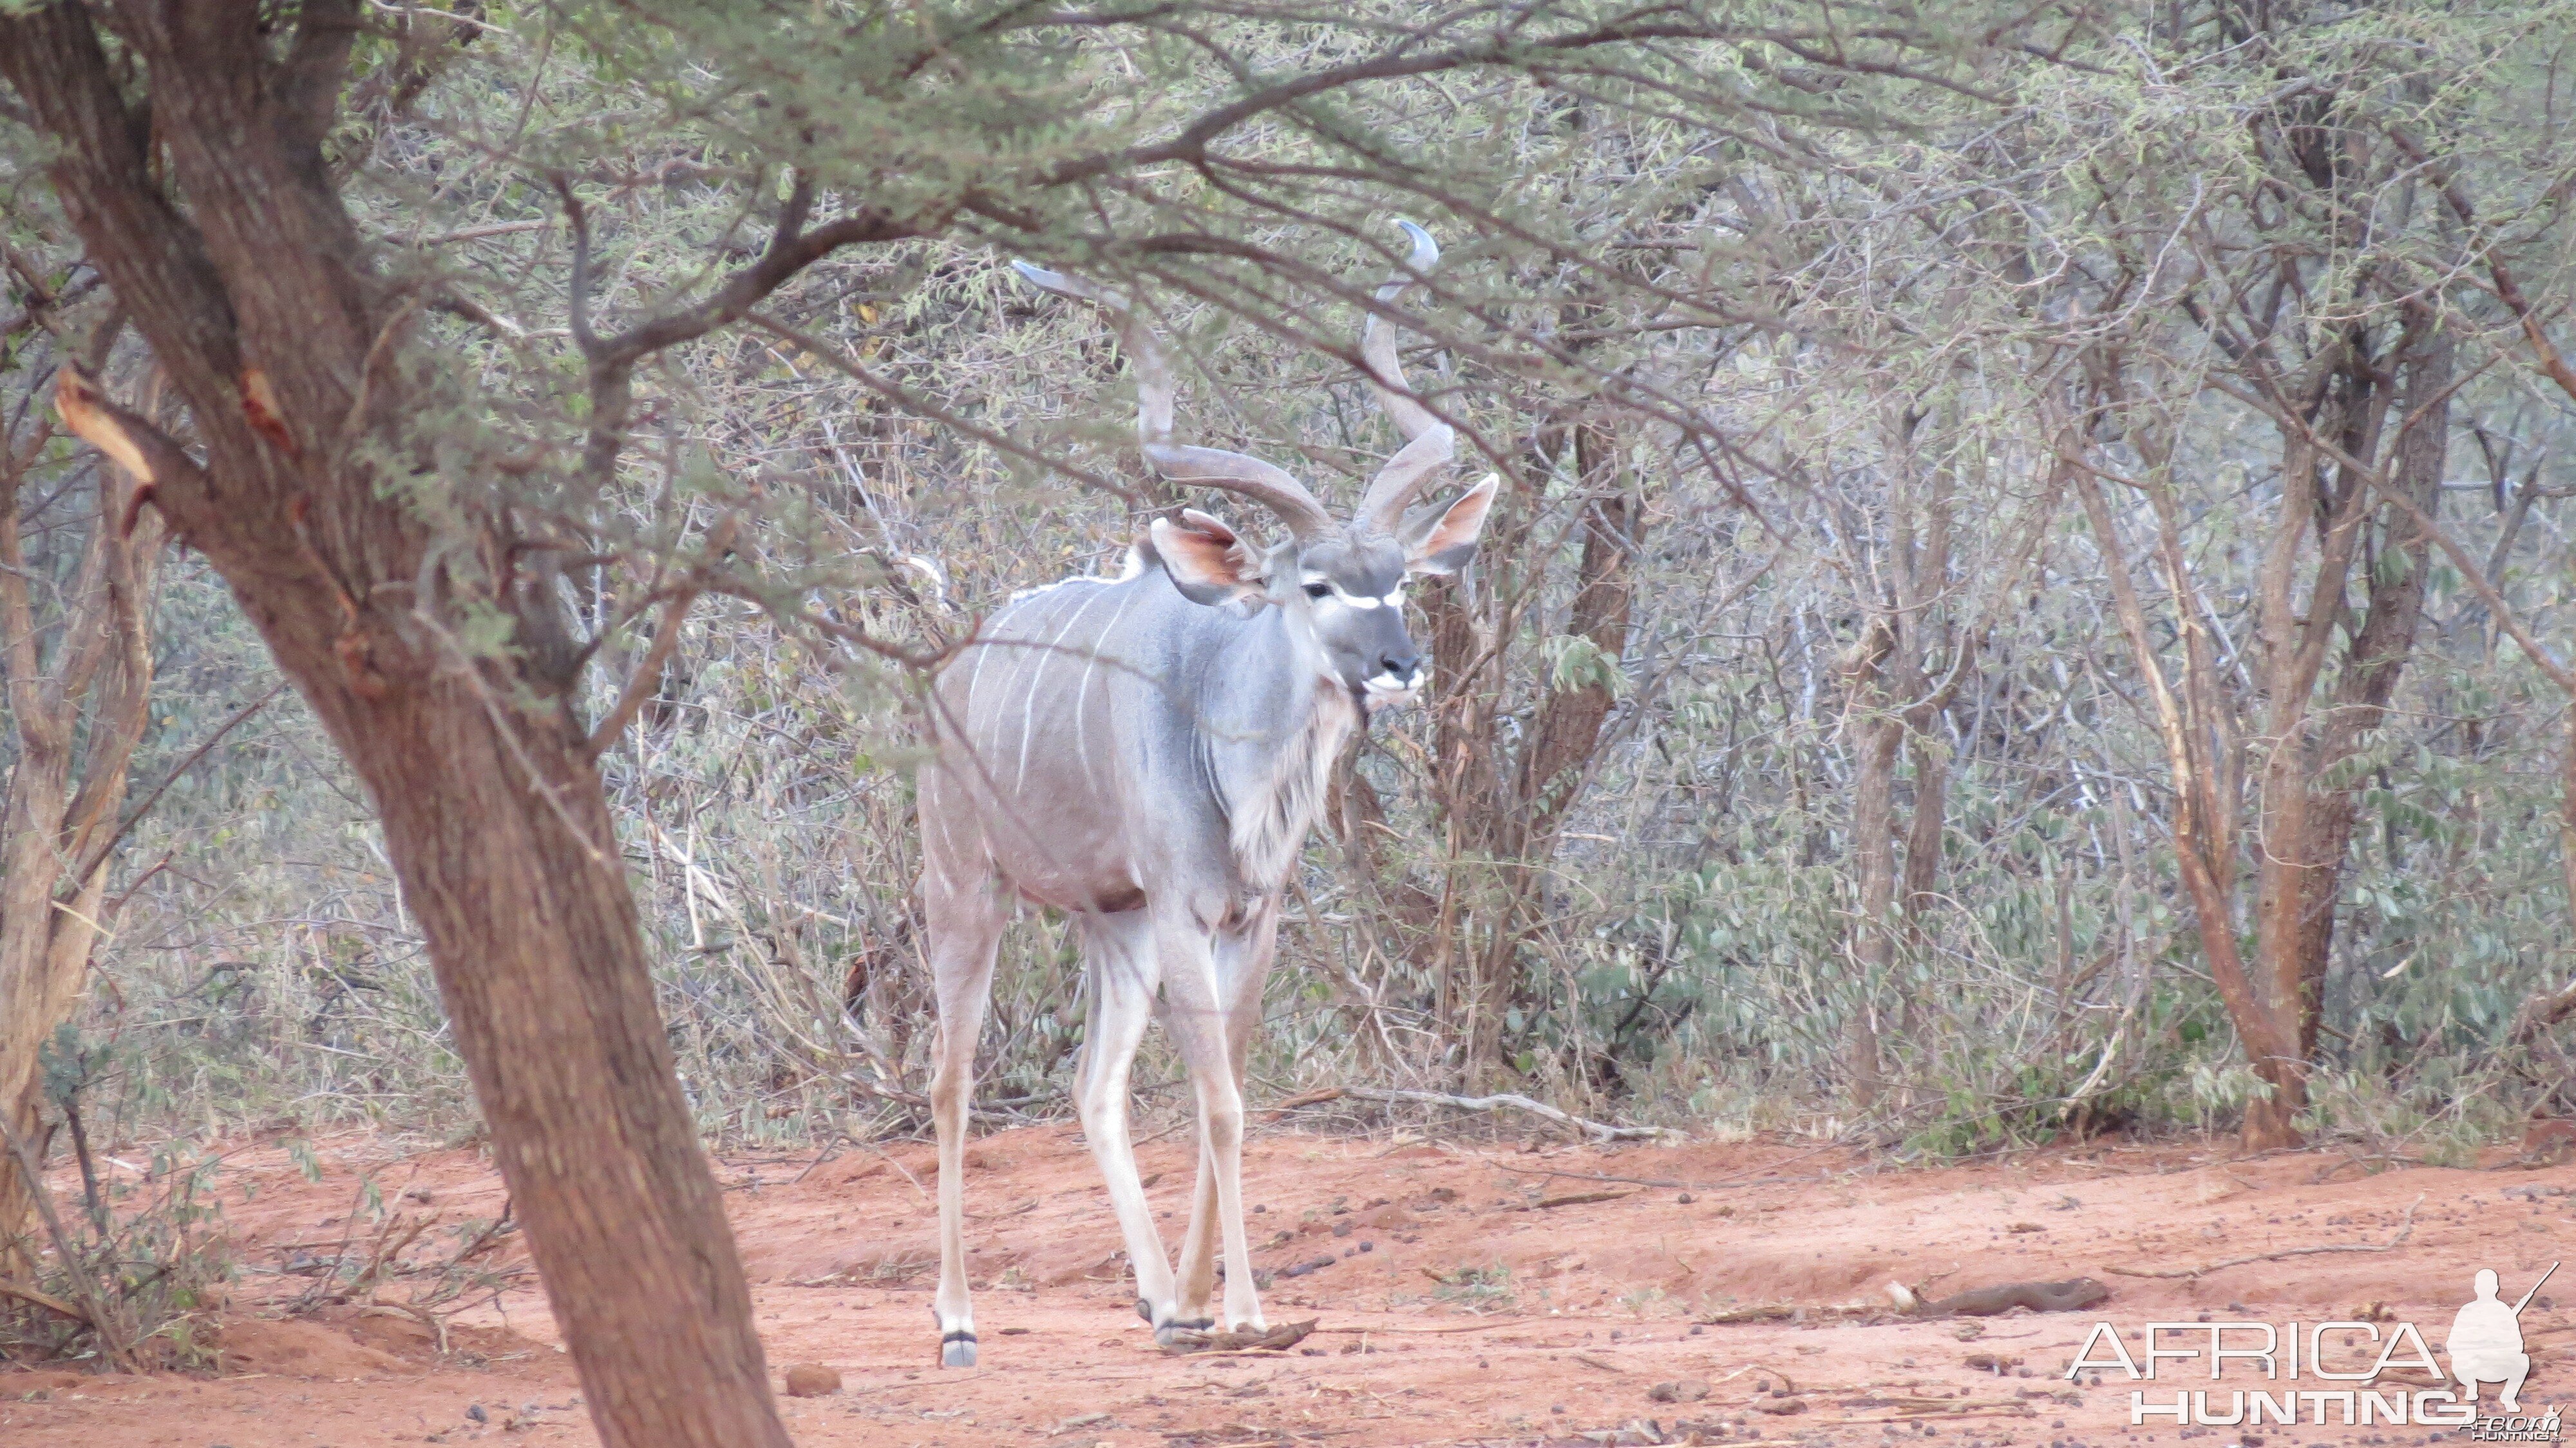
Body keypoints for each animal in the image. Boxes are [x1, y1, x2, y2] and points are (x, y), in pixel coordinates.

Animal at [922, 228, 1494, 1360]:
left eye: (1401, 577)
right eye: (1315, 585)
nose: (1402, 666)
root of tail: (948, 672)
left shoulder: (1247, 919)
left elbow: (1220, 1090)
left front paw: (1192, 1305)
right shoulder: (1187, 914)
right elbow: (1220, 1101)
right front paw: (1243, 1311)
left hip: (1114, 925)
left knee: (1092, 1085)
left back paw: (1150, 1298)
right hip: (968, 891)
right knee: (951, 1083)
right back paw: (958, 1322)